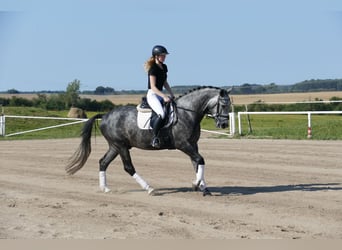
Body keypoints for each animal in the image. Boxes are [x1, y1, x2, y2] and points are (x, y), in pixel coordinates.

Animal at [65, 86, 231, 195]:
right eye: (223, 104)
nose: (224, 125)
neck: (188, 113)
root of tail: (105, 116)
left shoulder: (193, 144)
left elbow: (196, 163)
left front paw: (204, 188)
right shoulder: (182, 144)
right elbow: (200, 160)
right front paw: (195, 185)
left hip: (115, 146)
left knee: (103, 162)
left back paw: (105, 188)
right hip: (121, 146)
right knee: (128, 167)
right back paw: (149, 188)